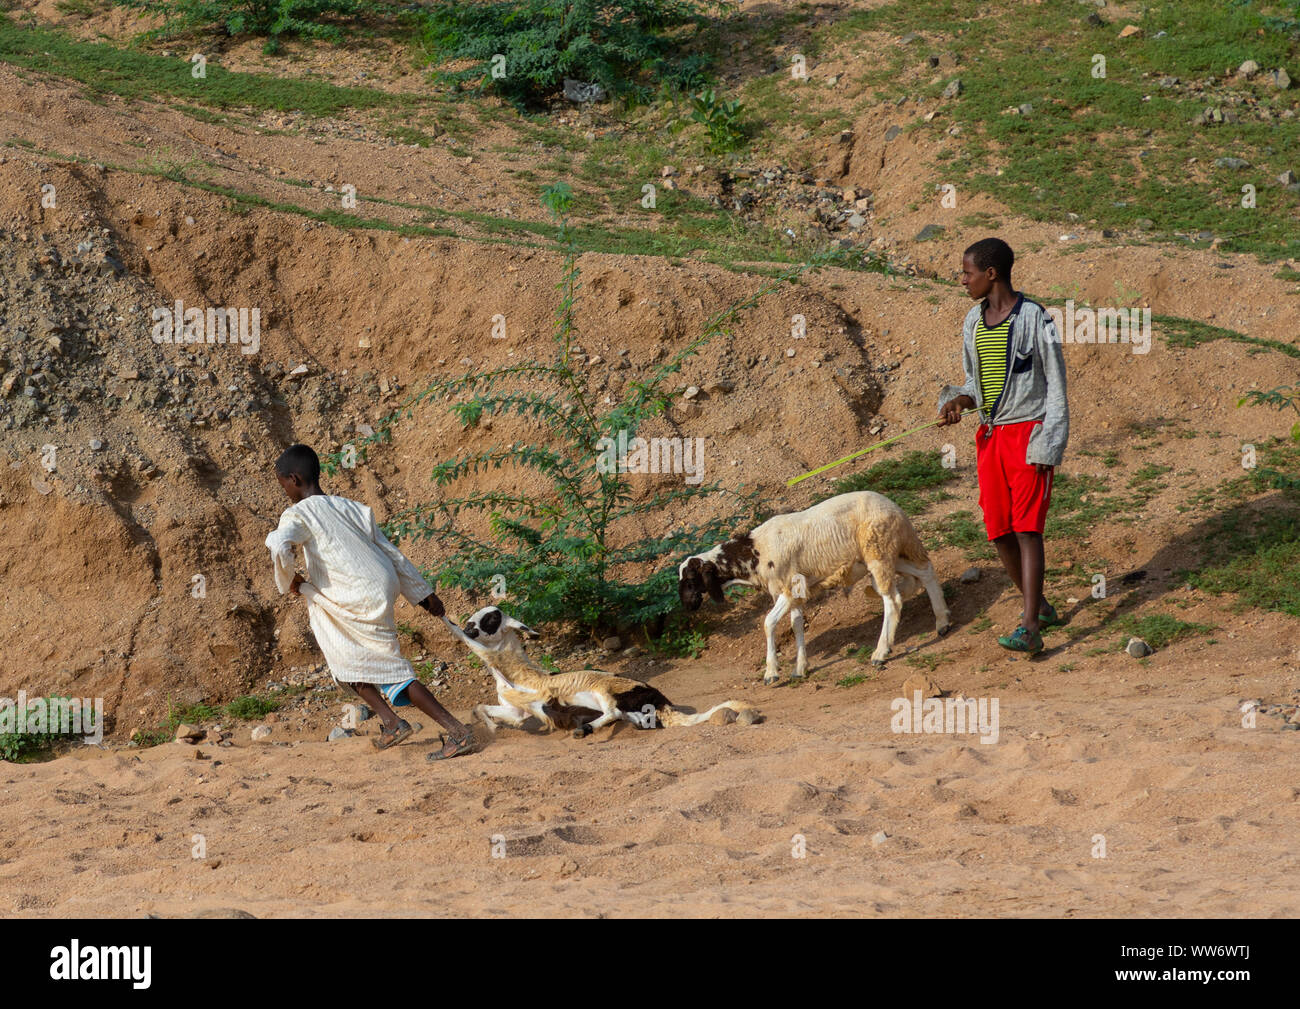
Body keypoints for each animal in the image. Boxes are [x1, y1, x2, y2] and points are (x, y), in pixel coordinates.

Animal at [681, 491, 956, 681]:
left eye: (691, 579)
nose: (688, 606)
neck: (753, 552)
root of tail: (895, 508)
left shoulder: (787, 585)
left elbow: (768, 623)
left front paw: (771, 672)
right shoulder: (793, 592)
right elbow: (796, 625)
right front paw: (800, 668)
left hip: (878, 551)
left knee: (893, 600)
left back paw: (881, 652)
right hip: (892, 552)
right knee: (926, 571)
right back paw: (942, 622)